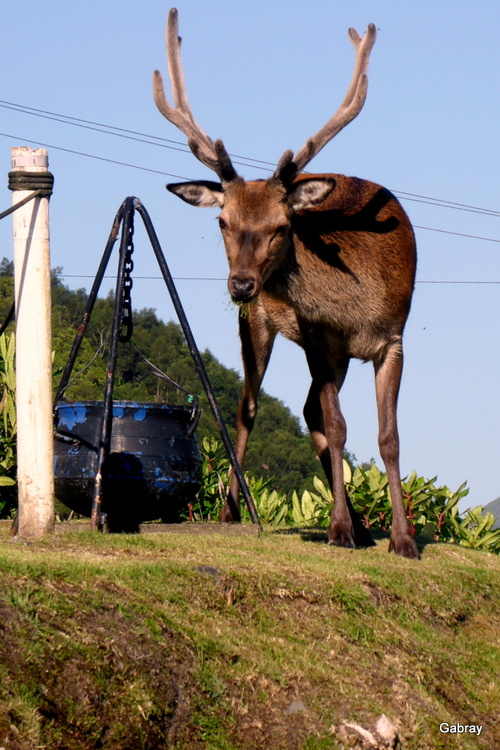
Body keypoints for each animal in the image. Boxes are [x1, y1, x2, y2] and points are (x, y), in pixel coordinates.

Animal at [154, 5, 420, 560]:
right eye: (222, 221)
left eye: (282, 226)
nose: (240, 284)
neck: (355, 308)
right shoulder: (318, 337)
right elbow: (338, 427)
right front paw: (339, 530)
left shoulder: (394, 339)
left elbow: (388, 436)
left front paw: (402, 539)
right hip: (261, 328)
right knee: (250, 406)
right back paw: (235, 511)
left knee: (306, 409)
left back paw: (364, 526)